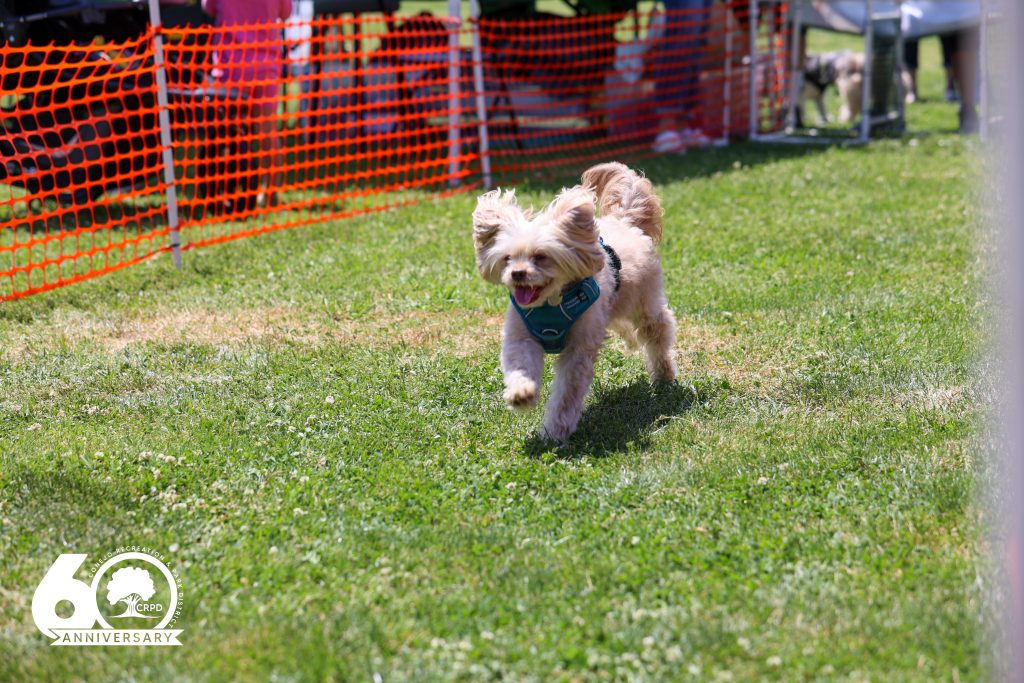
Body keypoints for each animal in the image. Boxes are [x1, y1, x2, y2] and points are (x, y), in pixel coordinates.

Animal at [473, 162, 679, 440]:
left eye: (540, 257)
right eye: (508, 258)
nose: (517, 274)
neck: (551, 303)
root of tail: (624, 221)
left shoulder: (578, 349)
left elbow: (567, 392)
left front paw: (555, 432)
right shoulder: (521, 337)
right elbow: (520, 364)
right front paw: (521, 394)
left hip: (644, 302)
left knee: (658, 331)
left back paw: (664, 375)